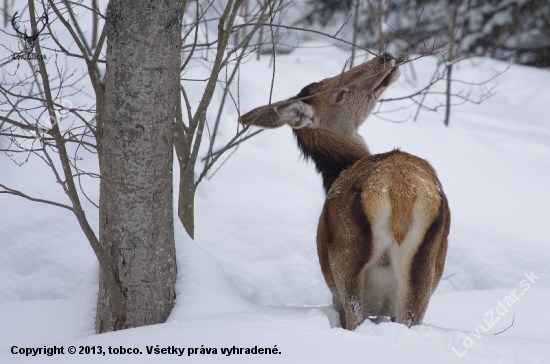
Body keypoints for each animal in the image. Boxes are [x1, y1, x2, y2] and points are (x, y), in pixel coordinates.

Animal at [239, 52, 450, 332]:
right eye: (339, 94)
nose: (386, 57)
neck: (335, 174)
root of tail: (399, 192)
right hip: (398, 264)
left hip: (369, 261)